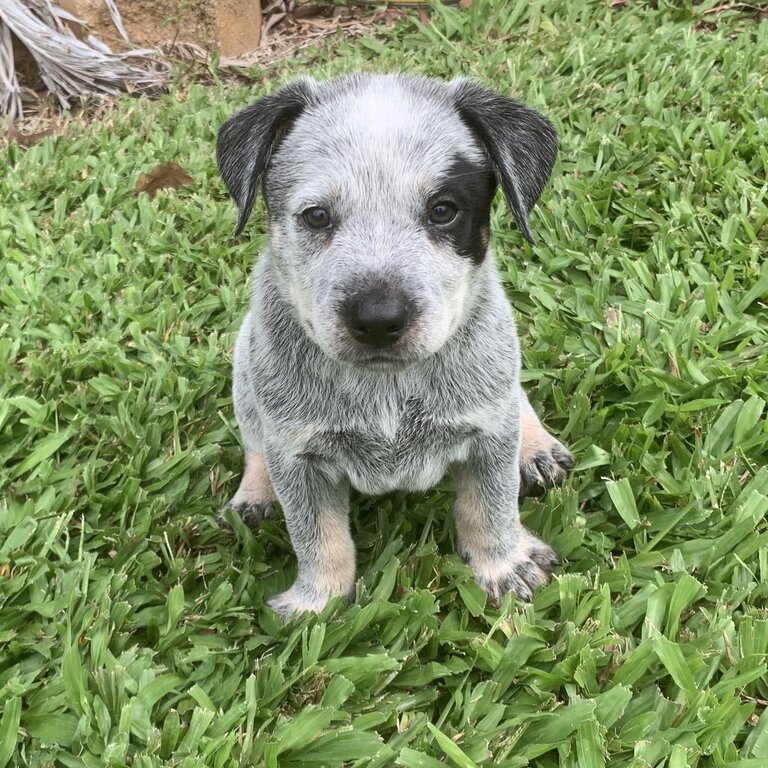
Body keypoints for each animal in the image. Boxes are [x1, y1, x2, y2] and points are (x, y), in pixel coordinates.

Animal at [213, 73, 572, 616]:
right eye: (316, 217)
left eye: (443, 211)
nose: (379, 319)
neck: (389, 386)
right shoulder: (298, 458)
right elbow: (318, 537)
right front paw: (318, 603)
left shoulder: (488, 437)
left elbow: (490, 507)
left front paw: (503, 565)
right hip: (244, 364)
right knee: (254, 437)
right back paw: (256, 492)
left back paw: (535, 445)